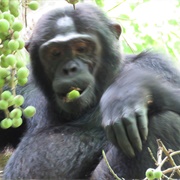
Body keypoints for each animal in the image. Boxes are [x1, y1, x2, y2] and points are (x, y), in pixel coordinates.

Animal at [2, 2, 180, 179]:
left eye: (82, 48)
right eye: (55, 53)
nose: (70, 69)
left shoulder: (156, 65)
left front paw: (128, 91)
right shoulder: (19, 85)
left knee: (163, 122)